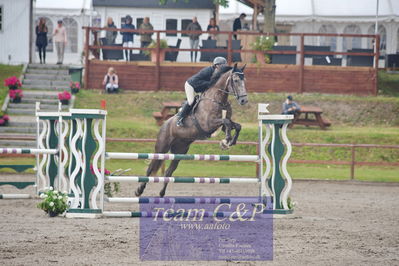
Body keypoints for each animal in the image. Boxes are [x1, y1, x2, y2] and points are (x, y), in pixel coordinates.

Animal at [138, 63, 250, 196]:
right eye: (236, 80)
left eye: (244, 80)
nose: (244, 100)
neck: (218, 99)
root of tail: (164, 124)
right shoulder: (208, 124)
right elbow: (227, 123)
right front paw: (226, 141)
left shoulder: (221, 125)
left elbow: (236, 126)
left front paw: (230, 141)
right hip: (161, 148)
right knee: (150, 168)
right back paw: (139, 191)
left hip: (180, 151)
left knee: (169, 171)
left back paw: (161, 193)